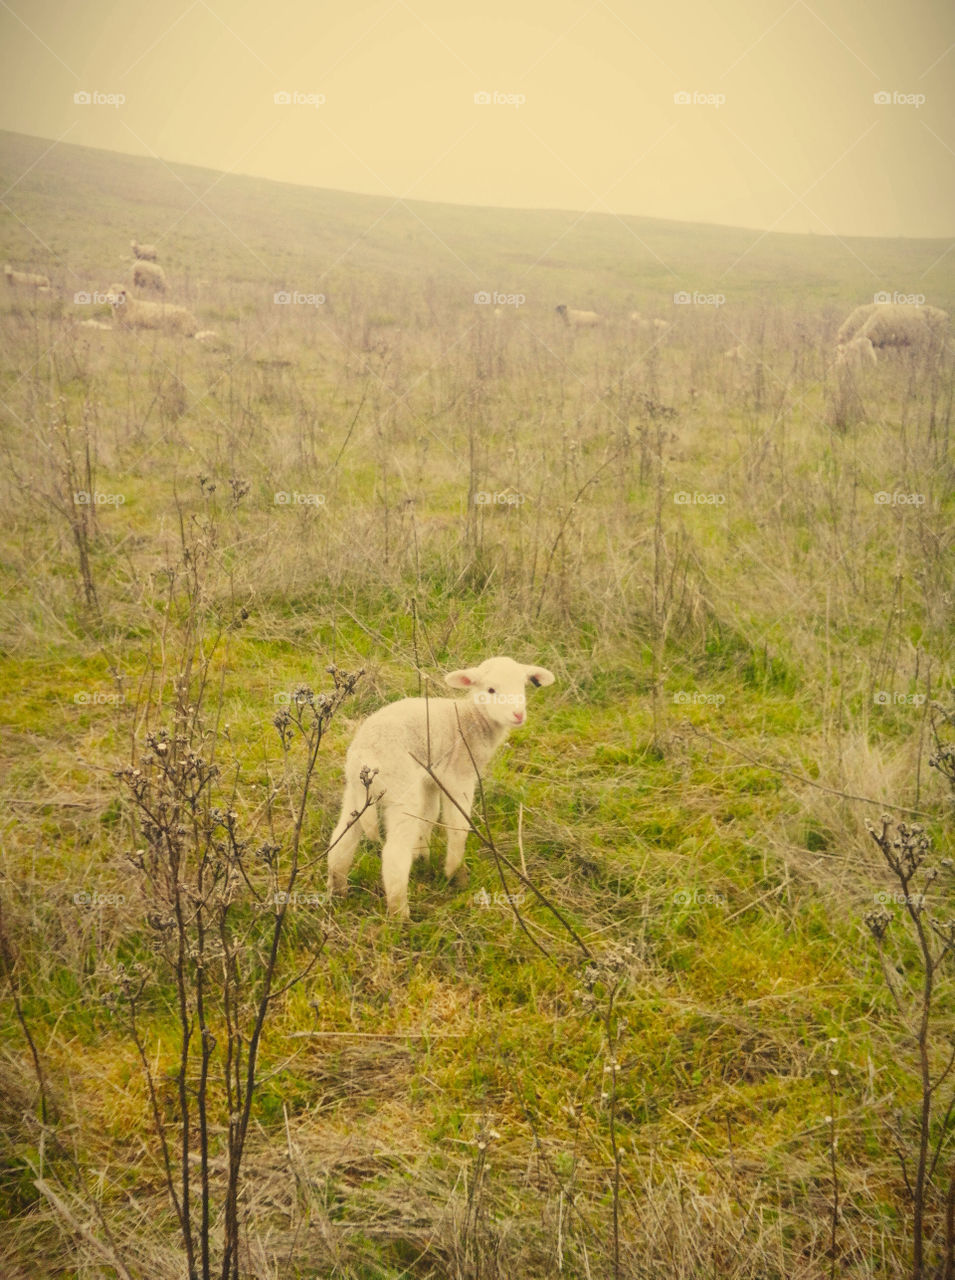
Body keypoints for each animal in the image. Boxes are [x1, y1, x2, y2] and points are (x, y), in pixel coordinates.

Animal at [327, 656, 556, 918]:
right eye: (490, 689)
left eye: (523, 686)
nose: (518, 714)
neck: (473, 719)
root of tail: (363, 754)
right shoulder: (459, 776)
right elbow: (458, 827)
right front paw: (454, 873)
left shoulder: (430, 779)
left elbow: (429, 815)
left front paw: (422, 856)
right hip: (401, 788)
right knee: (394, 856)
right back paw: (401, 916)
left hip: (356, 793)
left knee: (341, 843)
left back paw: (338, 893)